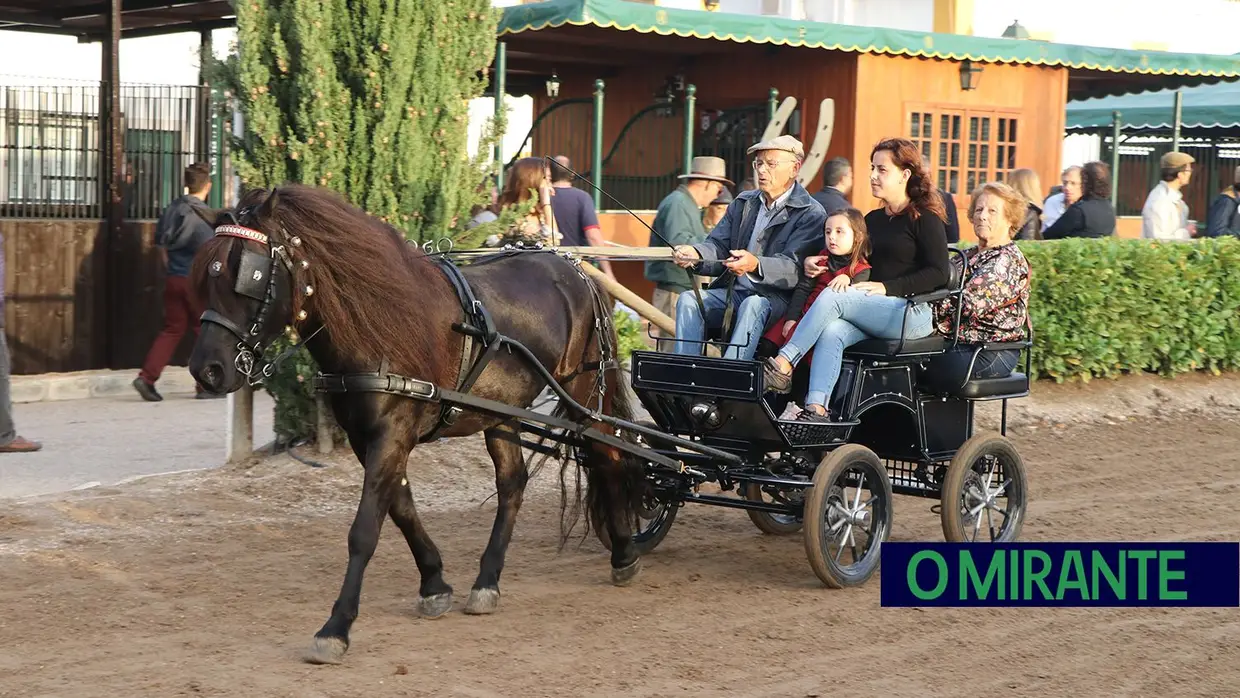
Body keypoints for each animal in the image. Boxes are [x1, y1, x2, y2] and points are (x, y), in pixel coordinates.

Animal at [188, 185, 649, 664]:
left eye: (250, 275)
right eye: (206, 276)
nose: (207, 371)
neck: (377, 325)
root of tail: (574, 268)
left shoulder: (391, 434)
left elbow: (365, 530)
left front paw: (336, 627)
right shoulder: (368, 438)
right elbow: (402, 509)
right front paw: (434, 584)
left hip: (582, 393)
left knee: (607, 454)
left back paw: (623, 553)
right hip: (500, 412)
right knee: (513, 482)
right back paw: (488, 580)